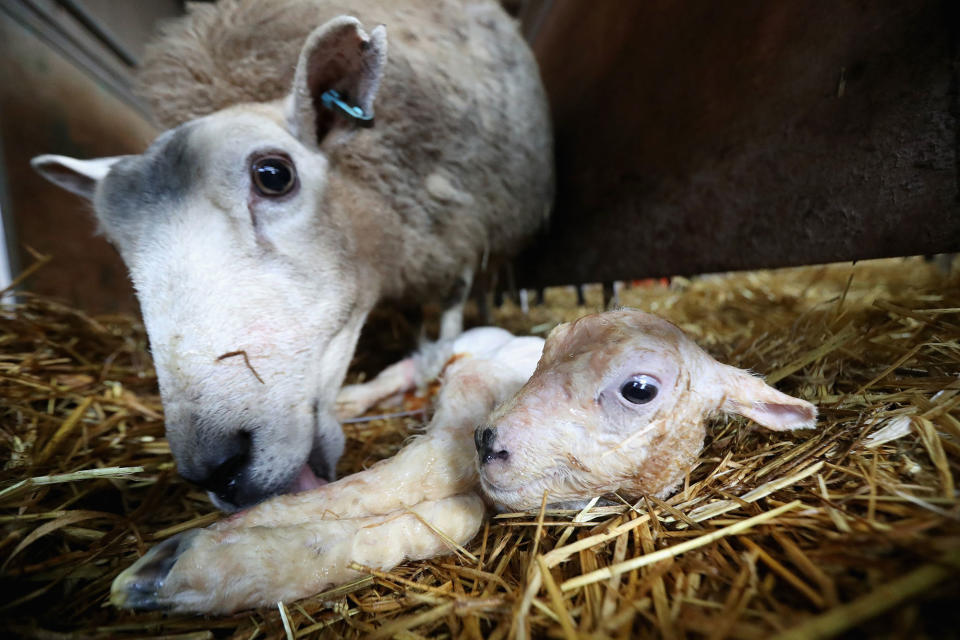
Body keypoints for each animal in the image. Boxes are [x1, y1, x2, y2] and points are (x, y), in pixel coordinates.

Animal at [31, 0, 556, 510]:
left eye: (274, 175)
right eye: (116, 244)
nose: (217, 470)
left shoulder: (462, 220)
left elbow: (454, 296)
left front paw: (440, 346)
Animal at [112, 310, 816, 616]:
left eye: (639, 390)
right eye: (550, 348)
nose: (491, 442)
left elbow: (456, 513)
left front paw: (193, 568)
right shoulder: (469, 403)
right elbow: (411, 480)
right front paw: (188, 566)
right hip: (448, 357)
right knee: (402, 371)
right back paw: (354, 398)